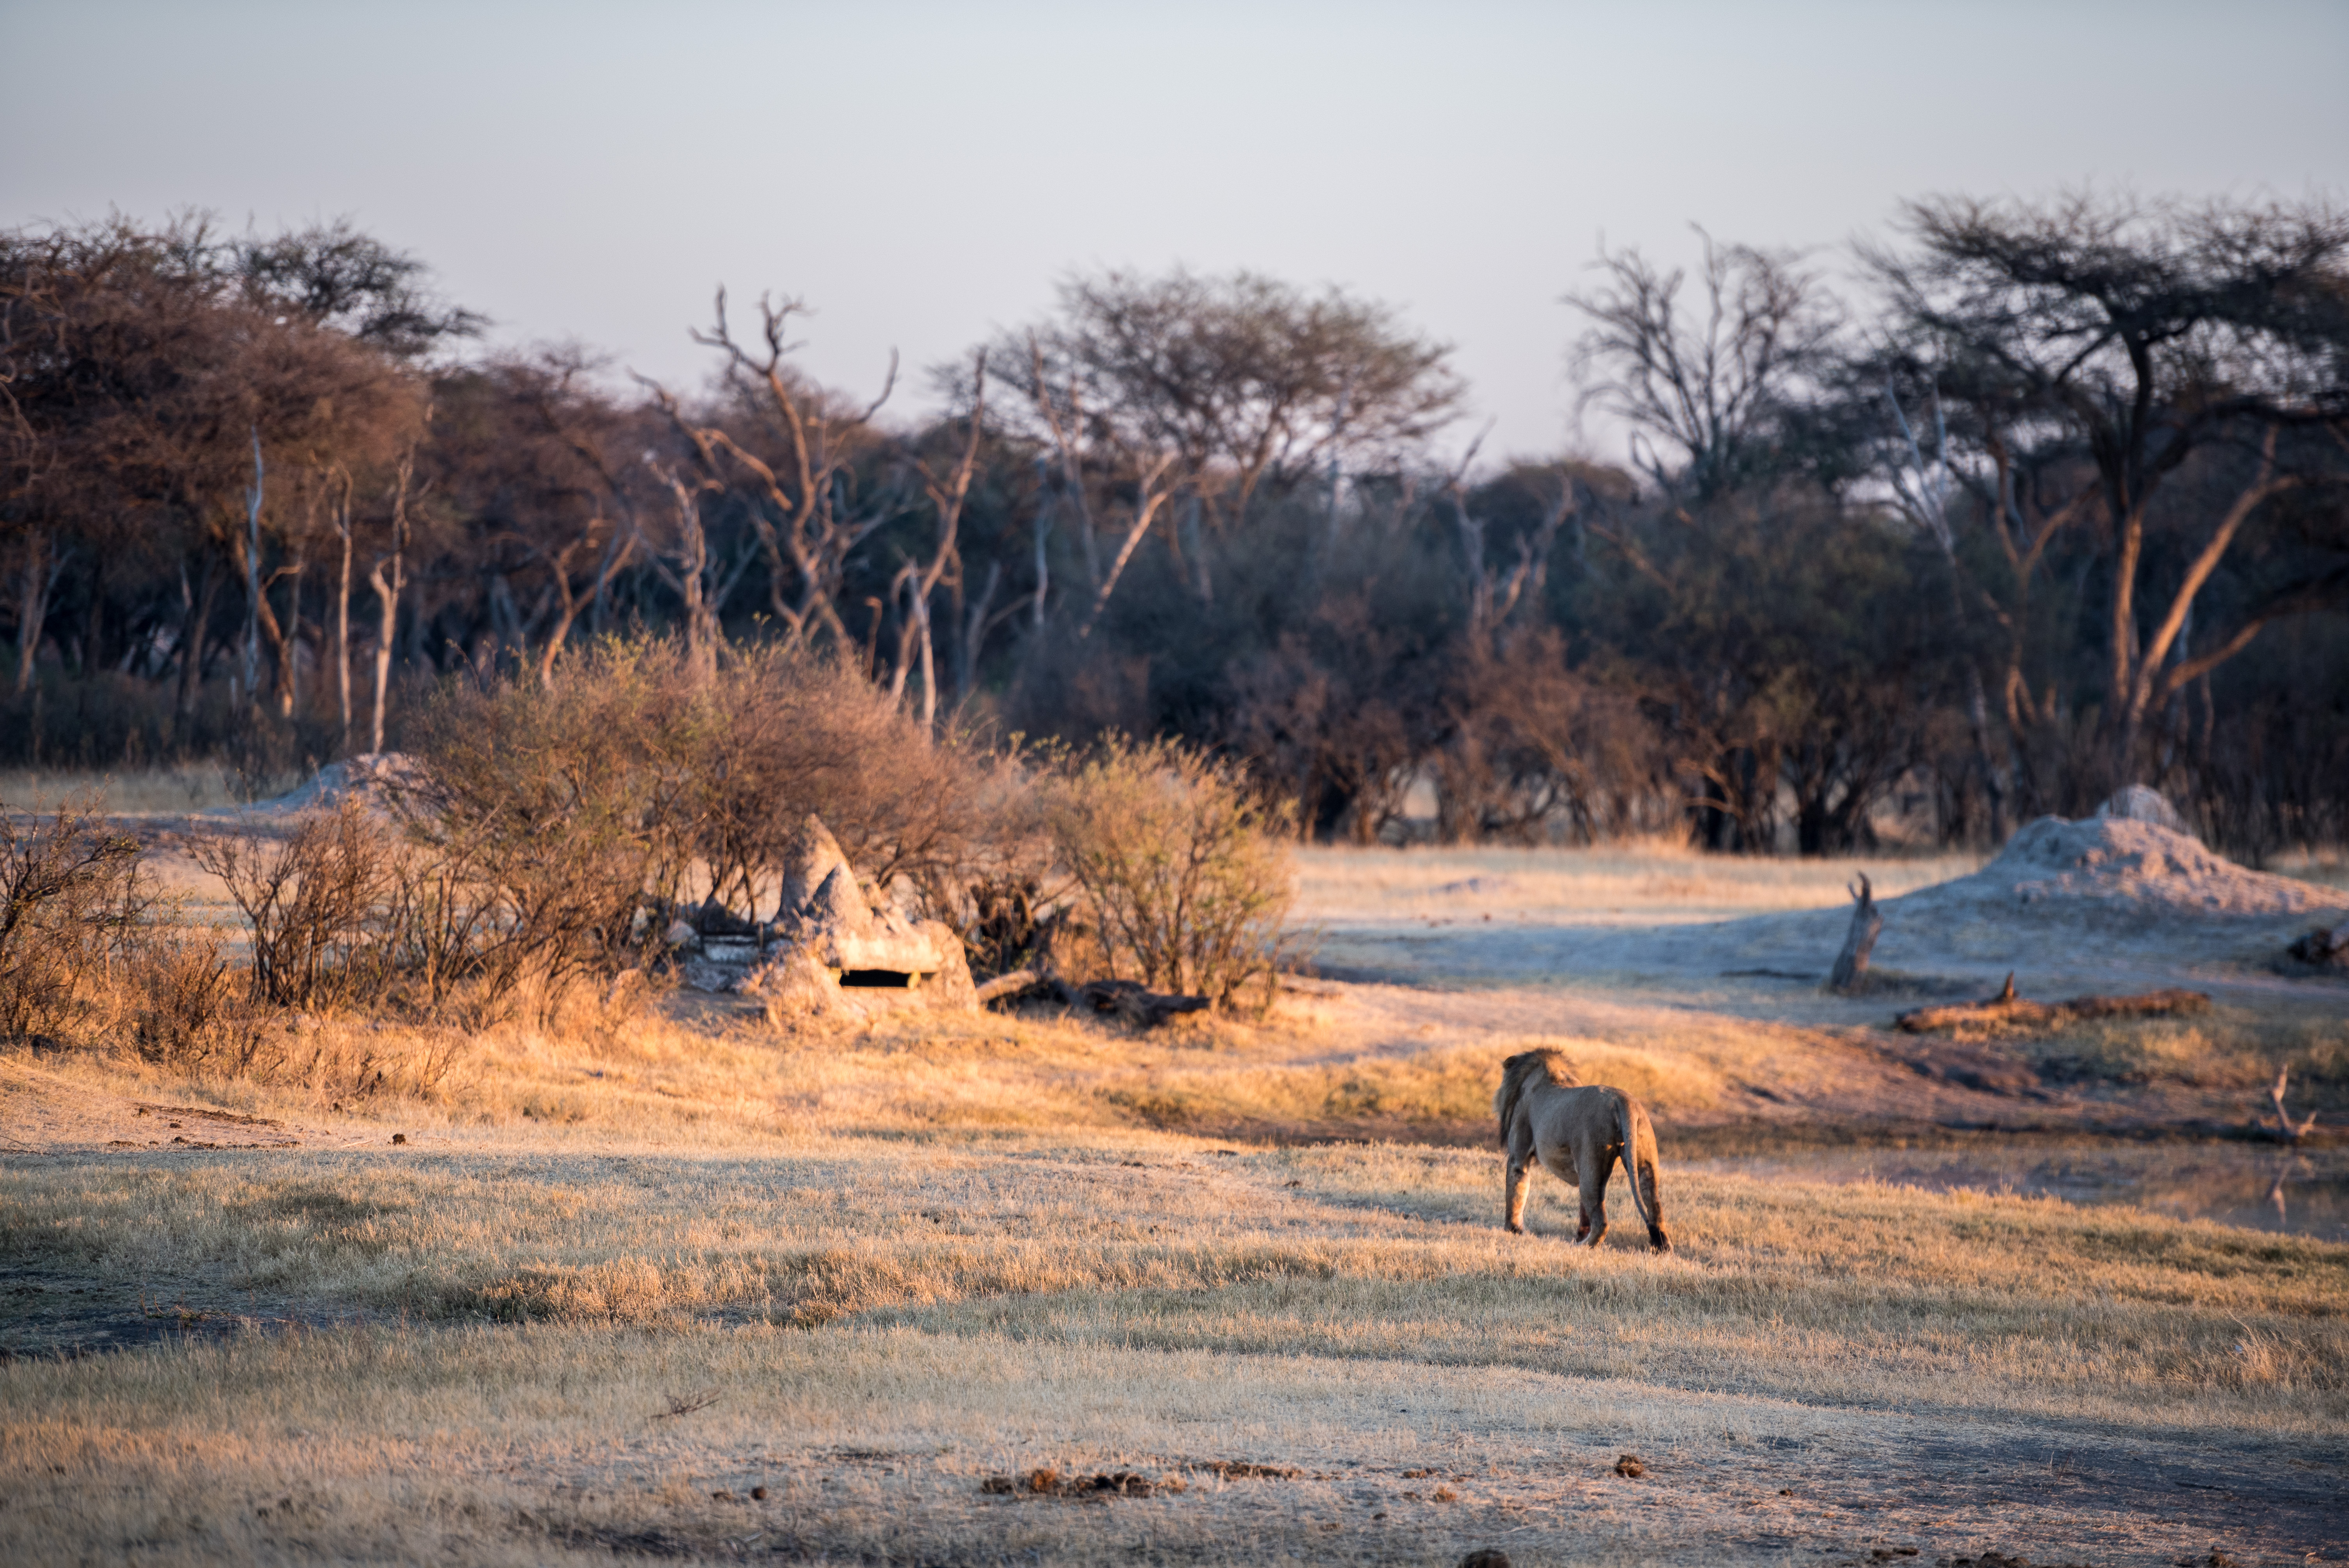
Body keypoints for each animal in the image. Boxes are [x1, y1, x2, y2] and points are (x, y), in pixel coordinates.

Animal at [1494, 1047, 1663, 1258]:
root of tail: (1623, 1101)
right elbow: (1583, 1214)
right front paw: (1580, 1234)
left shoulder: (1519, 1155)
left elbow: (1516, 1192)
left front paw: (1513, 1230)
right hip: (1642, 1156)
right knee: (1654, 1206)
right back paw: (1662, 1249)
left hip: (1591, 1161)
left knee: (1602, 1222)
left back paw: (1582, 1247)